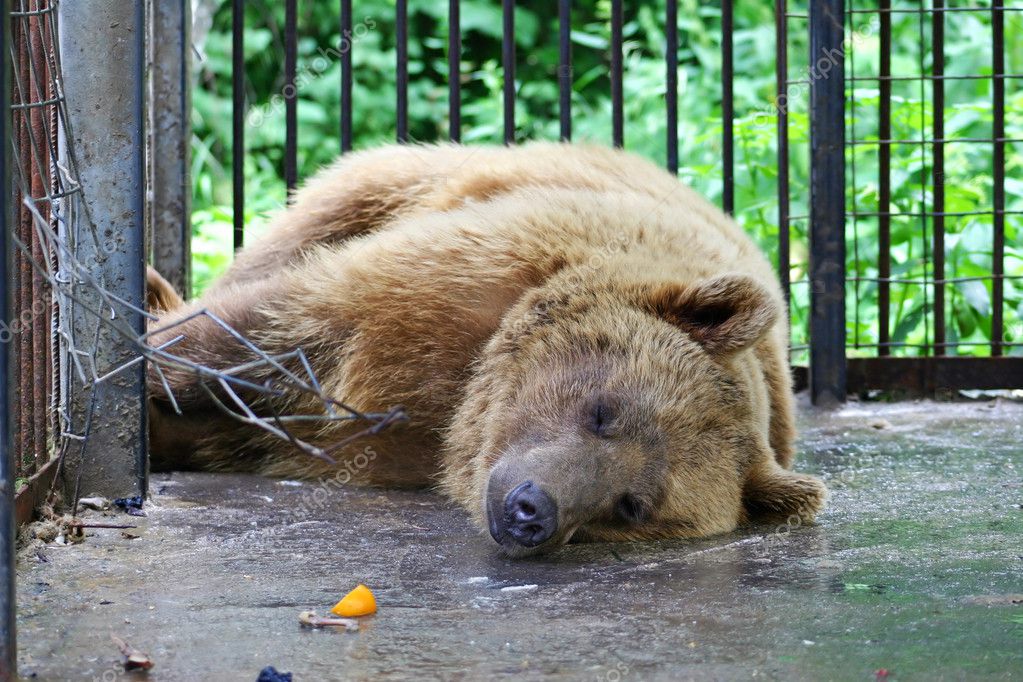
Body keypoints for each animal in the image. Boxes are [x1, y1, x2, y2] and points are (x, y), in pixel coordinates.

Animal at [148, 143, 826, 556]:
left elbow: (245, 429)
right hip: (406, 182)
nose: (532, 510)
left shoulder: (391, 443)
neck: (467, 401)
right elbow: (276, 327)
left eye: (633, 506)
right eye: (604, 411)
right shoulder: (468, 280)